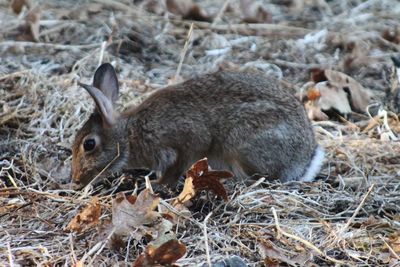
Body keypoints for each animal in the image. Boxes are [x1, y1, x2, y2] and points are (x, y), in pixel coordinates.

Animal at [70, 63, 324, 188]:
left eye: (89, 144)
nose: (76, 180)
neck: (130, 135)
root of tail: (303, 162)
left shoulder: (185, 143)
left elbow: (177, 167)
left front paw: (157, 184)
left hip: (243, 144)